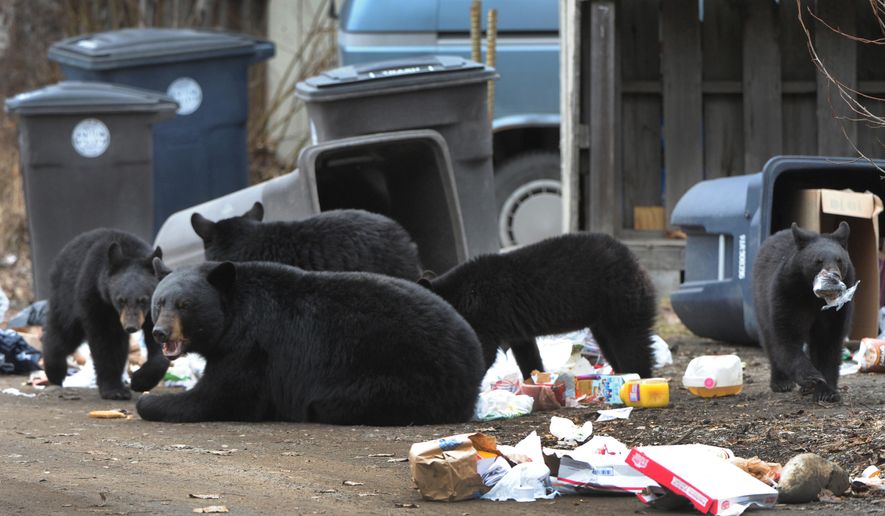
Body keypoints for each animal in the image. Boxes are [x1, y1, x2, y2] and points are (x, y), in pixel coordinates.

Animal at [41, 228, 169, 400]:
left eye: (144, 300)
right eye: (121, 300)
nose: (131, 327)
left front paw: (140, 381)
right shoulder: (95, 298)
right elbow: (104, 341)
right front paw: (115, 390)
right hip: (66, 295)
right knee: (64, 332)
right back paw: (55, 371)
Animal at [136, 259, 485, 425]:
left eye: (185, 305)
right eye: (159, 303)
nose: (160, 333)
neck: (234, 312)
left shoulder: (251, 348)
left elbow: (222, 395)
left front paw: (148, 401)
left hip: (402, 373)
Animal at [418, 232, 658, 379]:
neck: (462, 295)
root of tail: (636, 262)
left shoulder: (485, 314)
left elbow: (483, 350)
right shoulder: (512, 325)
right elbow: (527, 351)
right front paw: (533, 380)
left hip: (618, 299)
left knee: (631, 342)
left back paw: (638, 378)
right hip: (601, 317)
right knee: (610, 344)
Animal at [752, 222, 854, 402]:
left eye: (840, 260)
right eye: (818, 261)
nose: (834, 277)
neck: (813, 297)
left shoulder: (835, 311)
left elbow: (828, 341)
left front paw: (826, 391)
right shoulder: (788, 295)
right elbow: (787, 336)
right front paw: (812, 376)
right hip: (760, 301)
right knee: (769, 341)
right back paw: (781, 382)